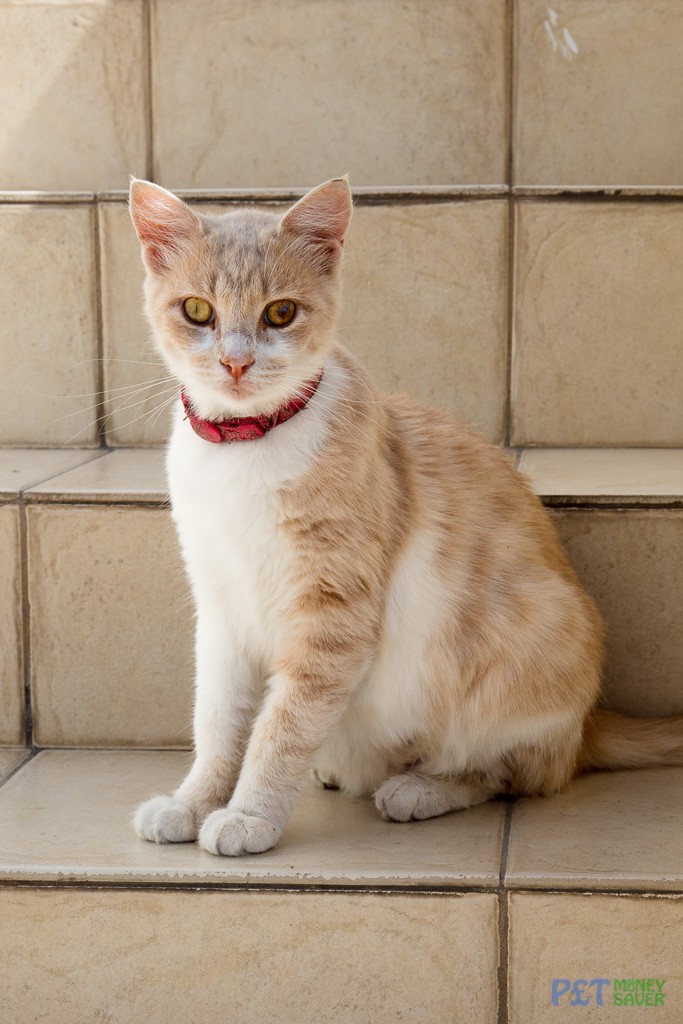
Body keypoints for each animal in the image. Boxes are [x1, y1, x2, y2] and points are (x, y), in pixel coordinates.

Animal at [129, 176, 683, 856]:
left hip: (529, 646)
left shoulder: (332, 614)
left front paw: (249, 813)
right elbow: (217, 723)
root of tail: (585, 725)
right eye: (197, 311)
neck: (246, 449)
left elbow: (281, 726)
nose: (236, 363)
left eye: (280, 313)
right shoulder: (221, 609)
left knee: (516, 773)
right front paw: (194, 801)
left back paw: (420, 789)